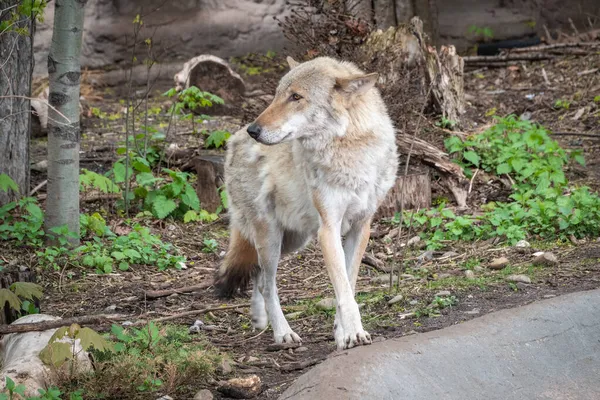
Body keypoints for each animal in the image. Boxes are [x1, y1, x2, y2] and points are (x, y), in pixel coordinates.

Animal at [216, 54, 398, 348]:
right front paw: (353, 333)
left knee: (258, 275)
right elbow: (344, 292)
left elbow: (348, 284)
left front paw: (341, 332)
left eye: (296, 97)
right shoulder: (329, 229)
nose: (254, 129)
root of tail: (234, 139)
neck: (349, 149)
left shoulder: (361, 227)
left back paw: (259, 319)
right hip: (271, 237)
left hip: (292, 240)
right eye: (277, 95)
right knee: (267, 283)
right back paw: (282, 333)